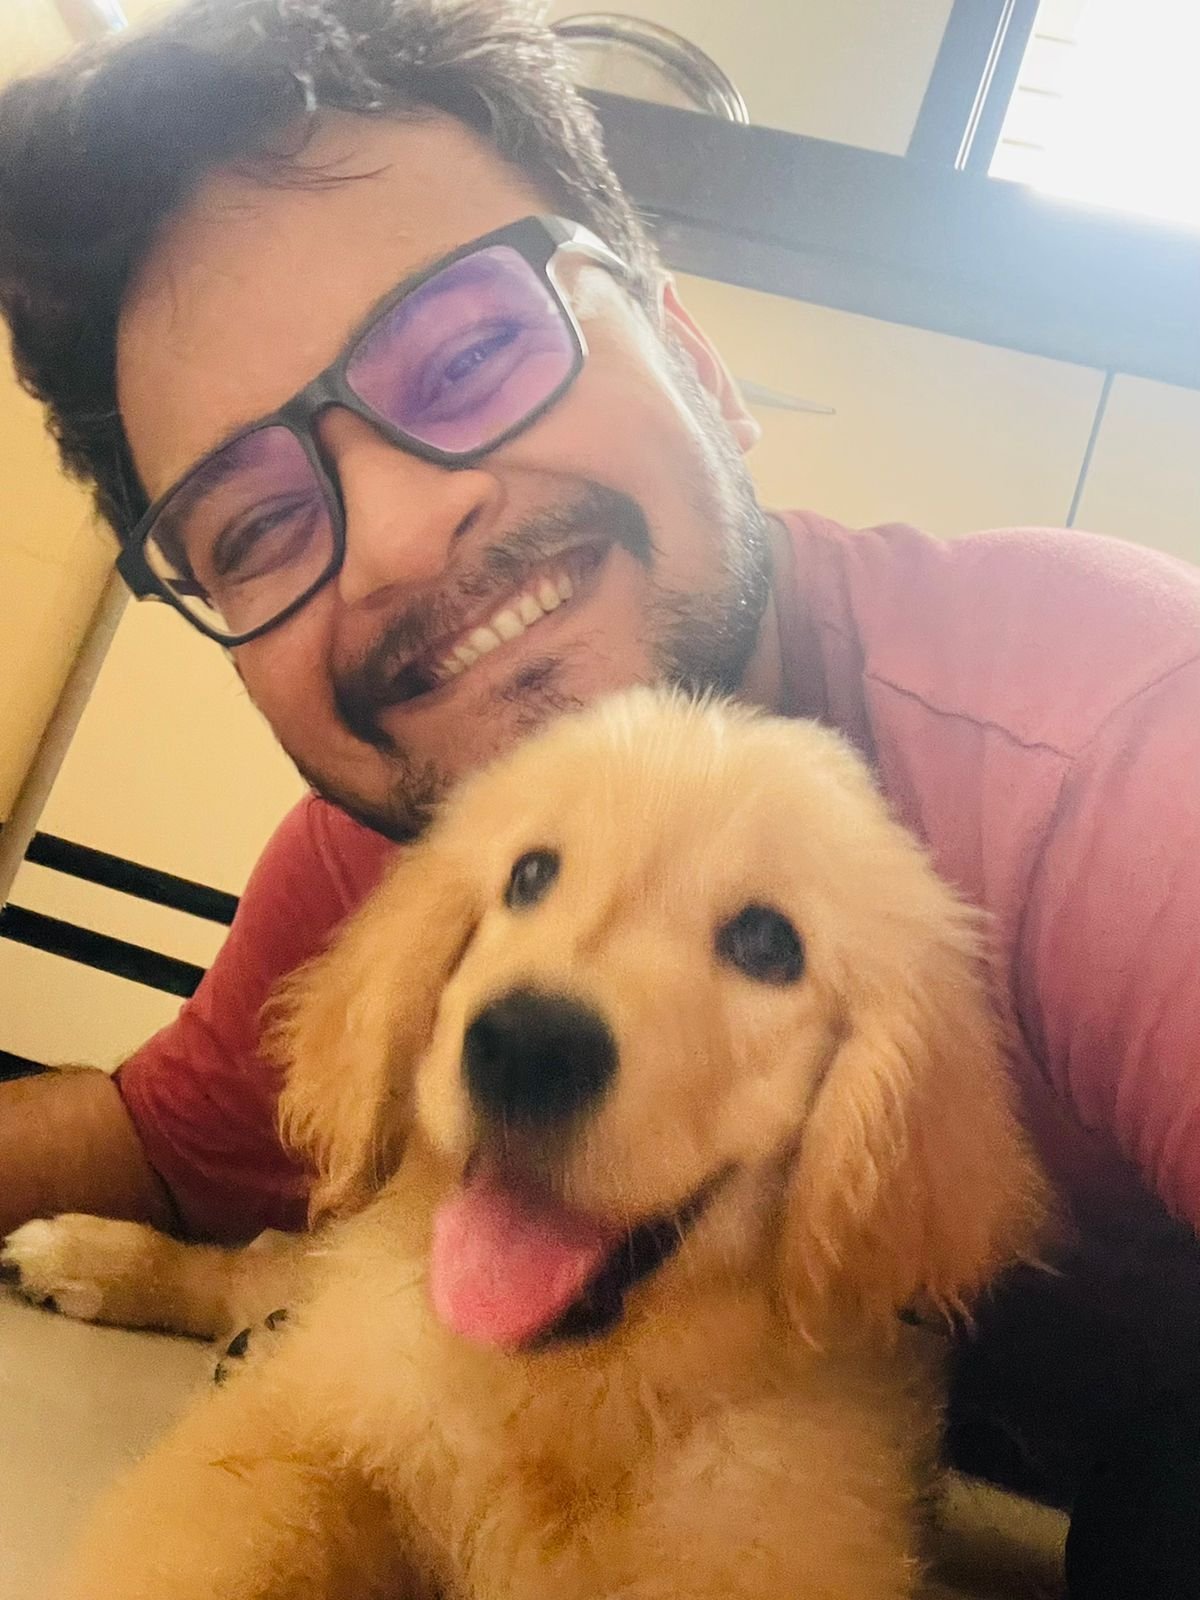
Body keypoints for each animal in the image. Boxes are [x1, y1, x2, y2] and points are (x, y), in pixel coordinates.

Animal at [3, 689, 1047, 1599]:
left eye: (767, 944)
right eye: (531, 876)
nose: (527, 1046)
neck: (560, 1397)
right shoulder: (304, 1432)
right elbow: (196, 1545)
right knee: (254, 1265)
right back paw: (80, 1255)